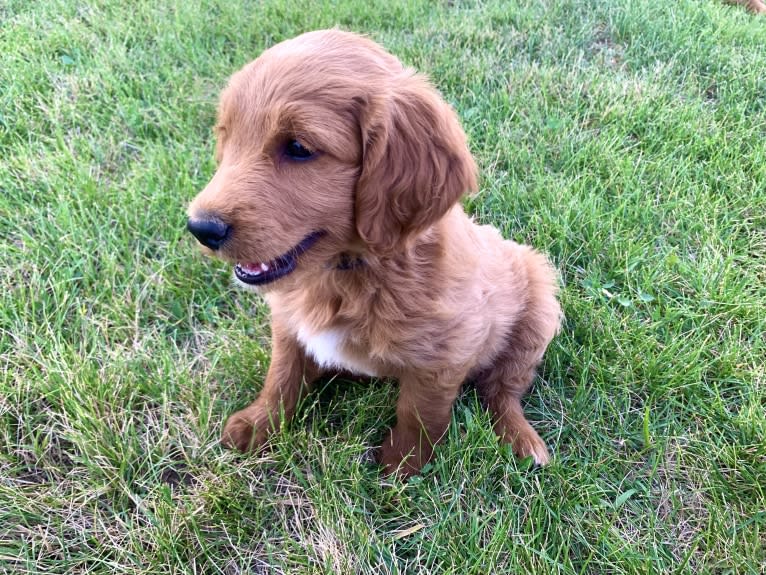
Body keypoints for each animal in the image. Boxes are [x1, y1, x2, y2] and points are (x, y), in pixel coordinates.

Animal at [188, 29, 564, 480]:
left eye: (298, 147)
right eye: (227, 138)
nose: (200, 228)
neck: (345, 272)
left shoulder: (446, 350)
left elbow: (419, 412)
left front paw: (402, 466)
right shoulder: (288, 323)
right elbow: (282, 375)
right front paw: (259, 423)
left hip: (538, 310)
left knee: (502, 389)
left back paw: (521, 441)